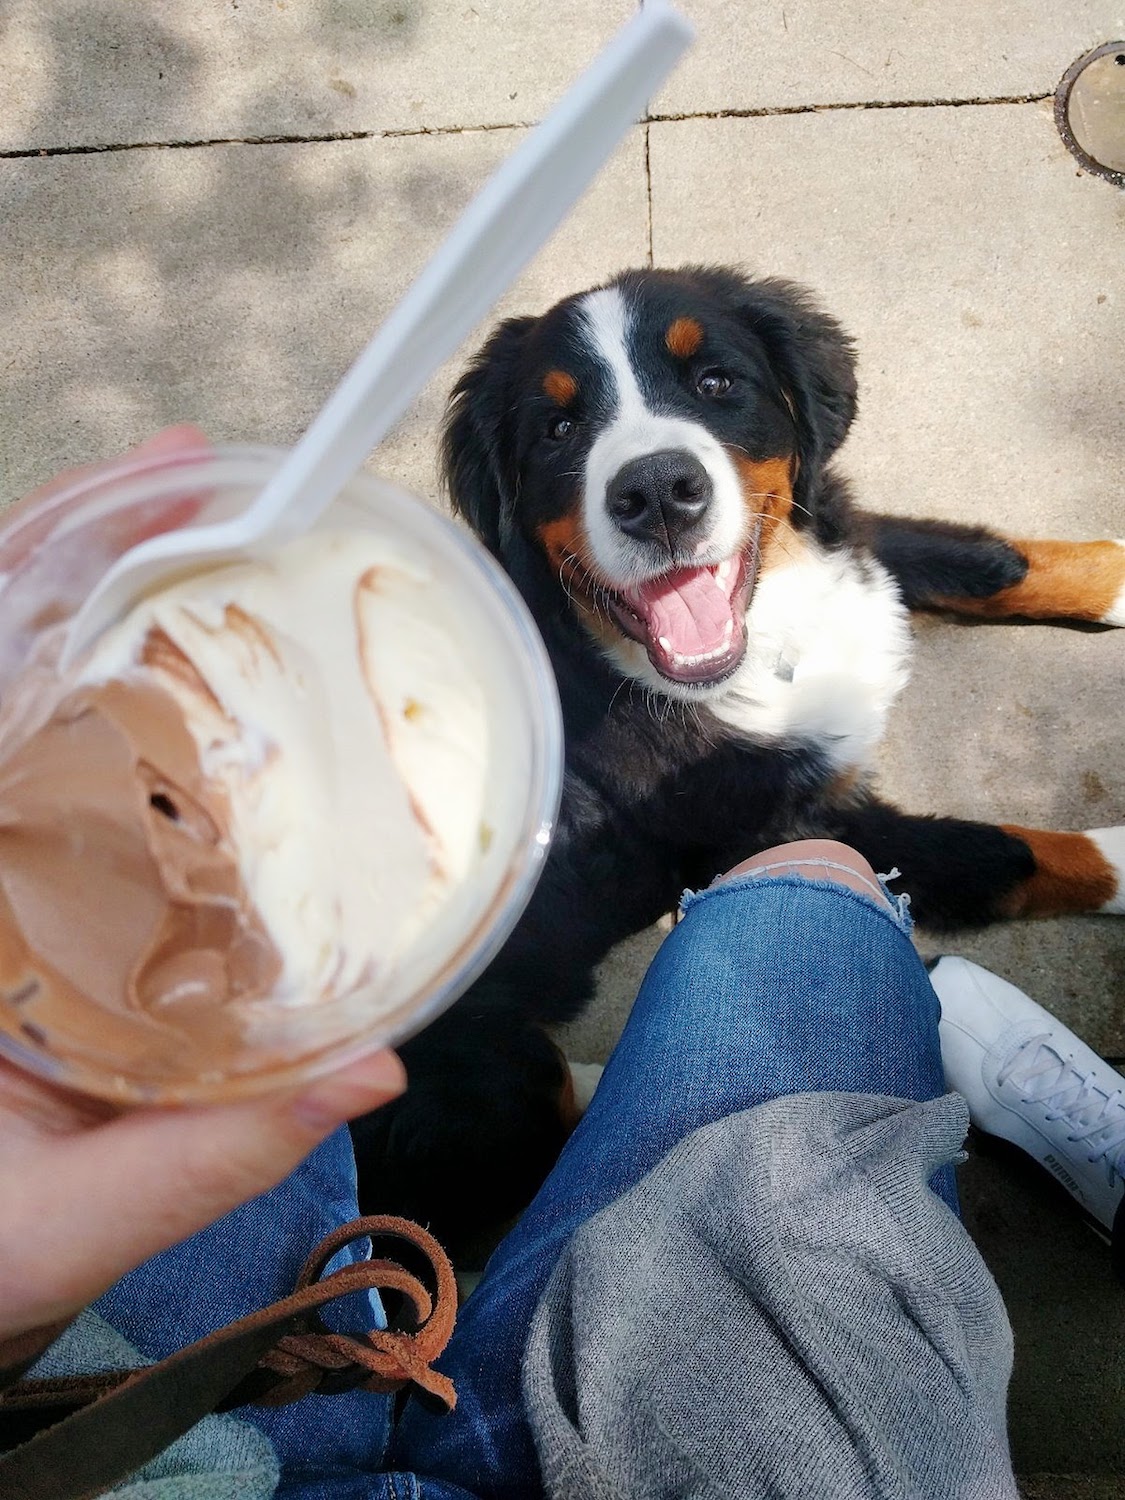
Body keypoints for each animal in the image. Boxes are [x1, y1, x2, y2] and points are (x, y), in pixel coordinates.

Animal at [352, 267, 1125, 1254]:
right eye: (557, 428)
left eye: (715, 381)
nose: (655, 491)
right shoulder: (788, 828)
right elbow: (1008, 850)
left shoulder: (845, 533)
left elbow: (988, 558)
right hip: (474, 1069)